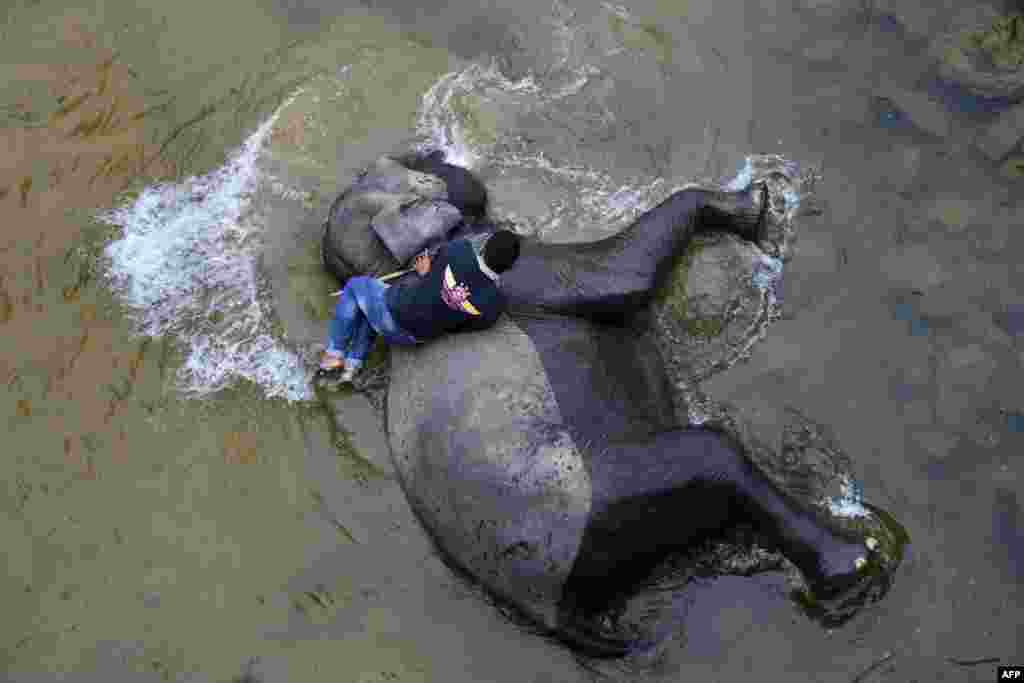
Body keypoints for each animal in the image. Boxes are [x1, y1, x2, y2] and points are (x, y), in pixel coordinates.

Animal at [317, 150, 905, 655]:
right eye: (418, 164)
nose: (438, 149)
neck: (395, 267)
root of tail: (557, 613)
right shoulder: (514, 265)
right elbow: (623, 277)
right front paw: (757, 201)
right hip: (599, 509)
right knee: (714, 456)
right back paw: (856, 562)